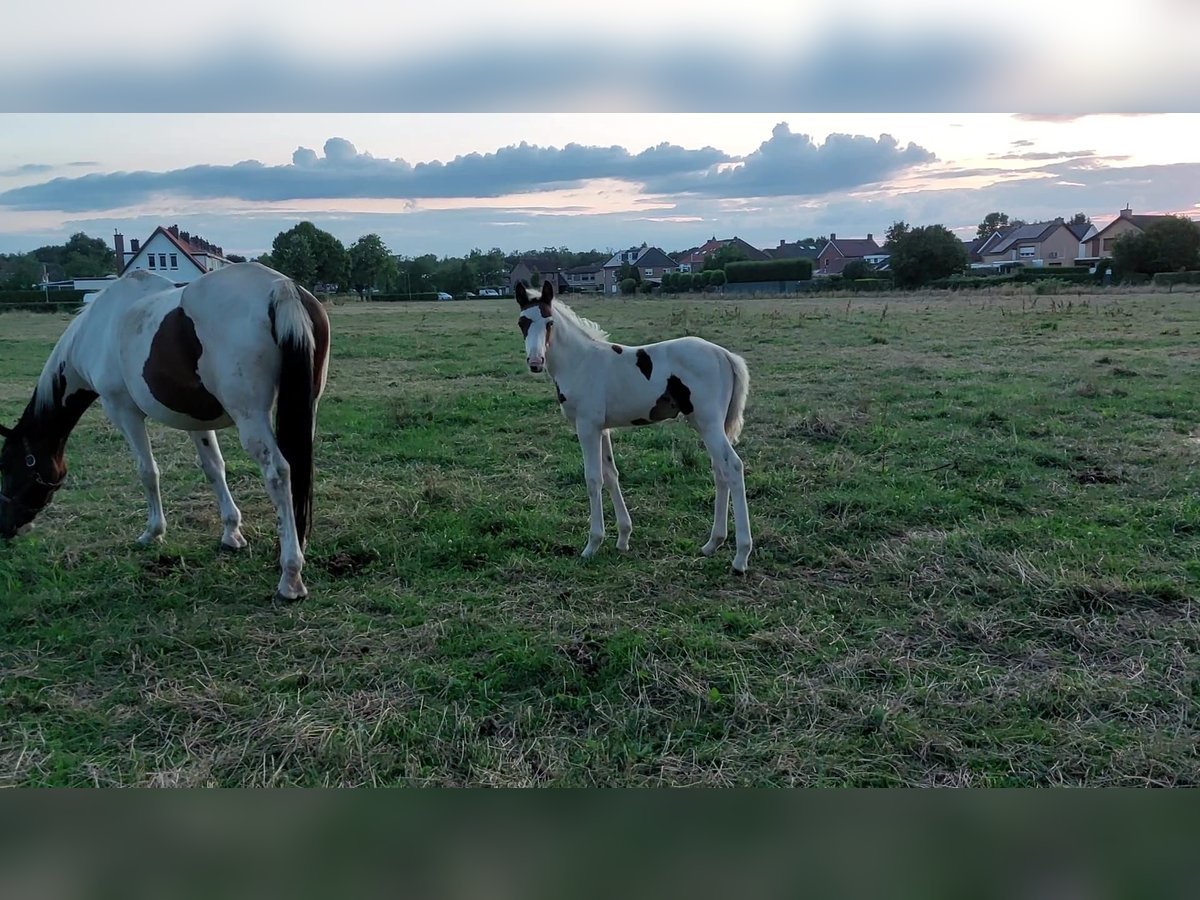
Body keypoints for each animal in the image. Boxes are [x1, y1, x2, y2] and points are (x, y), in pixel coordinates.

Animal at [0, 264, 331, 602]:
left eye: (8, 467)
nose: (6, 529)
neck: (97, 330)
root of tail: (280, 288)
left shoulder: (124, 412)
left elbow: (148, 472)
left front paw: (153, 532)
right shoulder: (196, 420)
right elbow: (214, 469)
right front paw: (231, 532)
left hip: (251, 418)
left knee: (278, 474)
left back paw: (290, 576)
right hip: (307, 406)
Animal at [513, 282, 748, 573]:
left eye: (549, 322)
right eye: (522, 322)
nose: (535, 362)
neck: (580, 362)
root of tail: (725, 355)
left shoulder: (587, 426)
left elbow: (593, 479)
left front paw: (592, 544)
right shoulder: (602, 429)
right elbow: (611, 474)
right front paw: (623, 537)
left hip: (709, 423)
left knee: (733, 467)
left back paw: (741, 556)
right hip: (705, 424)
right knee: (720, 470)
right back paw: (712, 544)